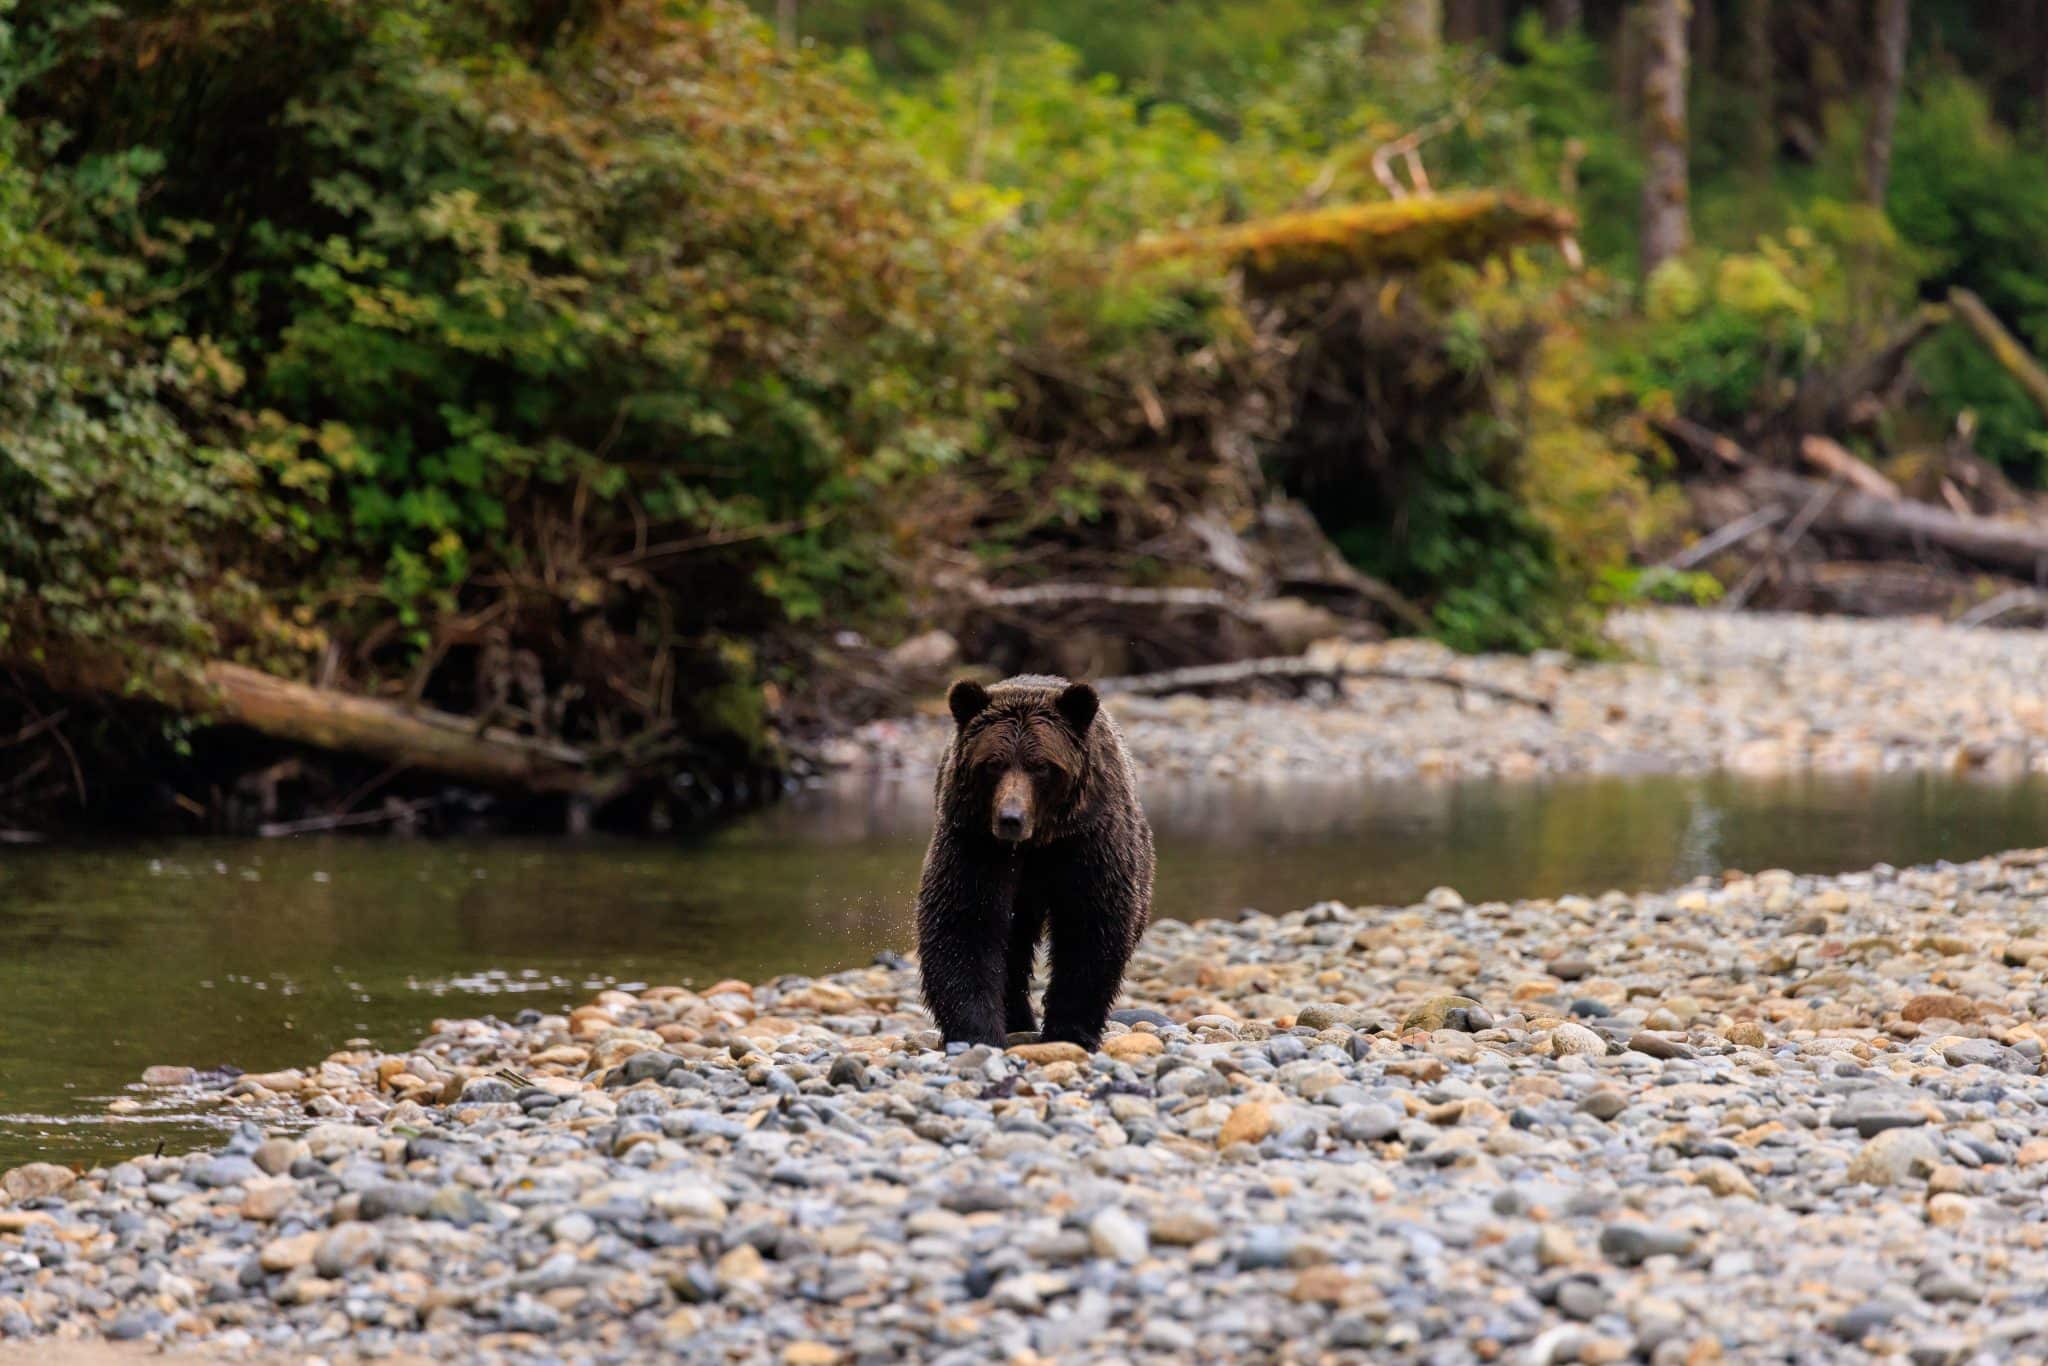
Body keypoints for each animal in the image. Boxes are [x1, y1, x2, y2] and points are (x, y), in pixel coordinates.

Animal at [914, 674, 1155, 1050]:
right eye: (993, 763)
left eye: (1041, 766)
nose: (1010, 818)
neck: (1036, 844)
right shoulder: (974, 842)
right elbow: (964, 923)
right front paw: (978, 1032)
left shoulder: (1087, 842)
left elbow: (1090, 926)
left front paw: (1069, 1030)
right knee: (1011, 947)